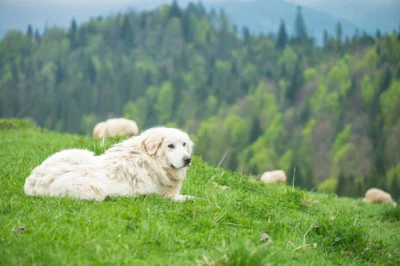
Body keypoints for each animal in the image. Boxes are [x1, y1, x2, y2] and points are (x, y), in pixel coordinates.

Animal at [23, 127, 195, 202]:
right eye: (170, 146)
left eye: (184, 144)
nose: (188, 159)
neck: (151, 162)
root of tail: (33, 180)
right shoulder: (159, 196)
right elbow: (187, 198)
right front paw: (191, 199)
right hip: (94, 189)